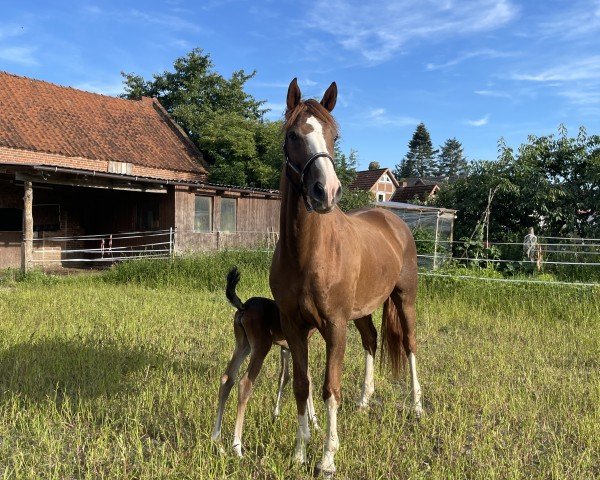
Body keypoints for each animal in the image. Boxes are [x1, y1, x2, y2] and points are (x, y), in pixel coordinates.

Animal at [211, 268, 318, 456]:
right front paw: (315, 422)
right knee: (244, 383)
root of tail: (244, 306)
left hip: (243, 344)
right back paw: (237, 447)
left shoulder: (286, 348)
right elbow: (307, 380)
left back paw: (216, 438)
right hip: (261, 346)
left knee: (227, 379)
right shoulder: (300, 345)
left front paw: (276, 414)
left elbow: (285, 377)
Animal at [270, 79, 424, 476]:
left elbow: (330, 388)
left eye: (334, 136)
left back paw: (417, 407)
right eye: (292, 135)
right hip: (364, 311)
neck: (308, 253)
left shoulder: (335, 325)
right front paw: (299, 451)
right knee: (371, 341)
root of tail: (394, 220)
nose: (326, 191)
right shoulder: (294, 325)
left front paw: (327, 458)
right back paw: (365, 402)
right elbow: (302, 385)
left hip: (404, 298)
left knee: (411, 345)